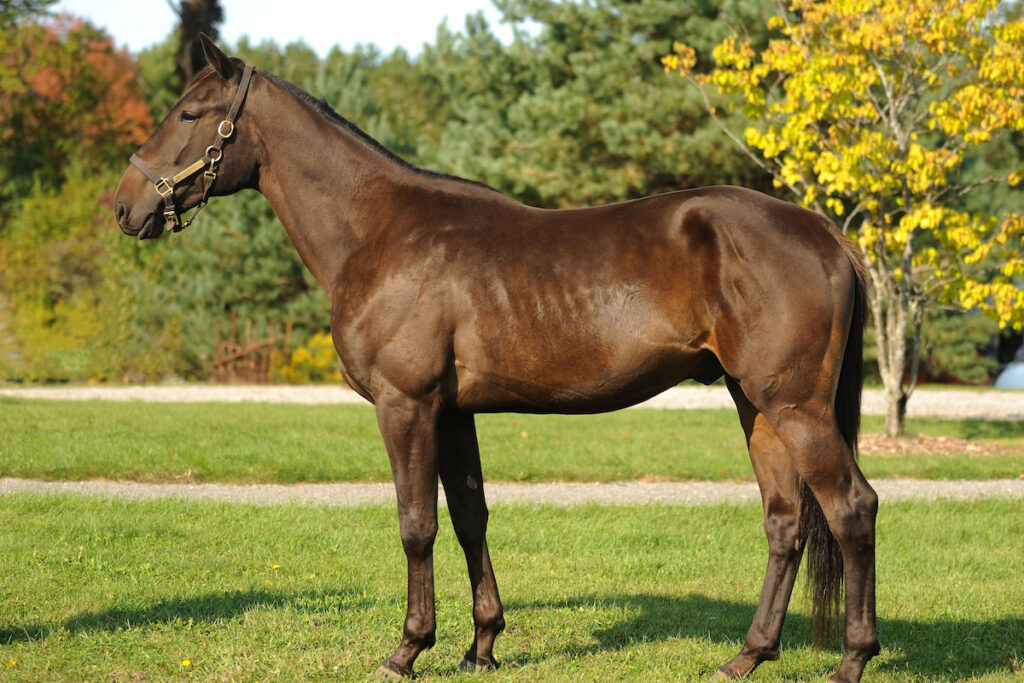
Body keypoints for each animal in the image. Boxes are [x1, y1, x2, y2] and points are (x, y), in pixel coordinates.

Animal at [114, 37, 880, 683]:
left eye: (189, 113)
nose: (125, 206)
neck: (380, 230)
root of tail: (825, 234)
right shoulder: (454, 413)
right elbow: (469, 516)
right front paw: (481, 645)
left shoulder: (406, 405)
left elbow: (416, 524)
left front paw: (407, 649)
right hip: (756, 405)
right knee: (785, 521)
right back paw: (746, 656)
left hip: (795, 407)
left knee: (851, 508)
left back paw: (851, 659)